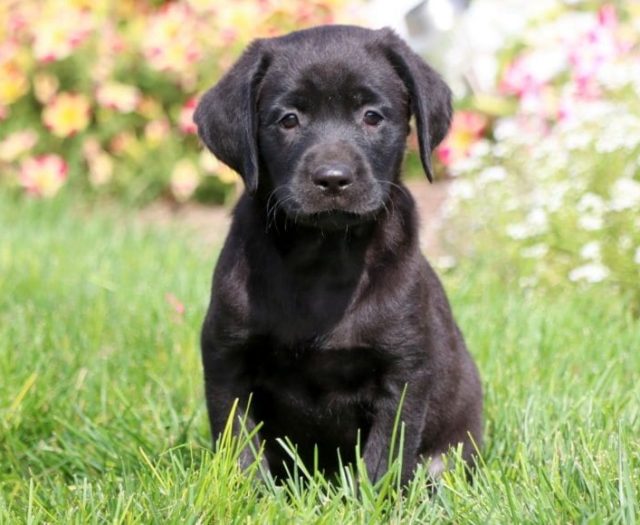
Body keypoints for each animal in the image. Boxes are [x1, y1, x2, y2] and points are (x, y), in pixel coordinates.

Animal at [194, 24, 480, 484]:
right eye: (289, 119)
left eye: (372, 116)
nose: (332, 179)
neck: (323, 259)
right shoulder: (226, 358)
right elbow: (240, 450)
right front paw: (245, 492)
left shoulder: (403, 371)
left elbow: (383, 461)